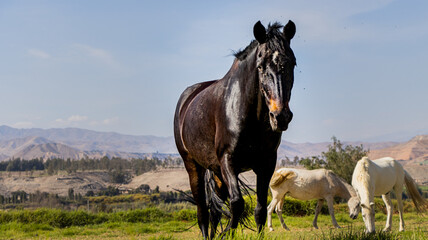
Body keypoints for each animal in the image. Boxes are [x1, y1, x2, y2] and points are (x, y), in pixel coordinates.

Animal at [172, 20, 296, 238]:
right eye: (260, 66)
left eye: (292, 63)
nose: (281, 116)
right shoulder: (228, 161)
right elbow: (237, 204)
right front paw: (227, 233)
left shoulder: (266, 164)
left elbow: (260, 209)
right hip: (193, 166)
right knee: (203, 211)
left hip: (216, 173)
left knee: (214, 211)